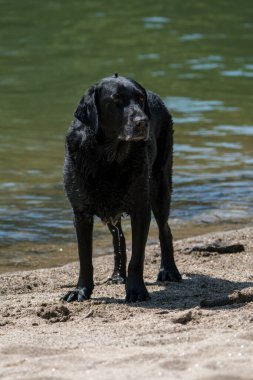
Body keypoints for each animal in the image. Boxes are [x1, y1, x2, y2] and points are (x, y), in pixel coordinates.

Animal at [63, 74, 182, 302]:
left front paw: (136, 291)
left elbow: (138, 257)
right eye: (116, 99)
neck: (108, 157)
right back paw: (118, 275)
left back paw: (169, 270)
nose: (142, 122)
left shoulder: (141, 209)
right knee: (118, 238)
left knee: (165, 230)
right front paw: (81, 290)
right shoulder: (81, 213)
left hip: (160, 186)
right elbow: (85, 258)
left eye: (140, 99)